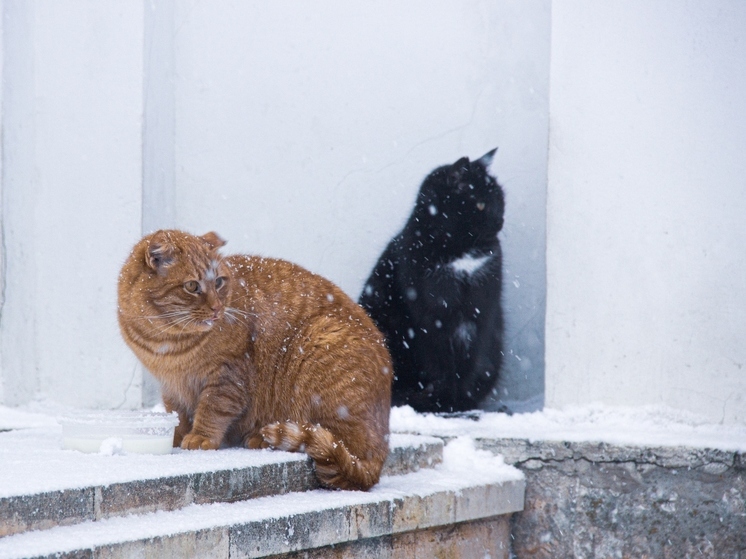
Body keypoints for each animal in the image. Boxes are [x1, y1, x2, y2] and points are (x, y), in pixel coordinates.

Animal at [116, 230, 392, 492]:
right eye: (193, 286)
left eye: (218, 282)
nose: (217, 308)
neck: (167, 344)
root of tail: (381, 454)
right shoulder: (171, 385)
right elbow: (177, 413)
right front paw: (175, 434)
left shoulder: (228, 375)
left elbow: (212, 408)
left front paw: (201, 437)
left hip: (318, 349)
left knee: (329, 439)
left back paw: (262, 438)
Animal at [358, 151, 502, 414]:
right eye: (480, 204)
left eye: (500, 199)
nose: (500, 220)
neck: (459, 253)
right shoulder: (430, 311)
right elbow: (439, 360)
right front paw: (444, 402)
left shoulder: (481, 308)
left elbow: (470, 358)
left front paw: (459, 404)